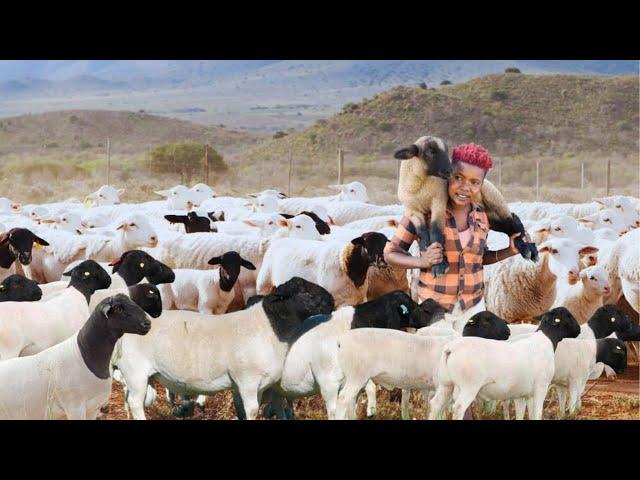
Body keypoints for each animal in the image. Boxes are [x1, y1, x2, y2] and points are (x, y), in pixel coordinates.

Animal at [112, 278, 336, 420]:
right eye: (305, 292)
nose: (332, 301)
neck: (268, 327)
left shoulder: (253, 385)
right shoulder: (247, 380)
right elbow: (251, 411)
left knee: (132, 401)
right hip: (135, 372)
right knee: (135, 402)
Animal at [256, 232, 388, 308]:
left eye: (384, 245)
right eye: (367, 244)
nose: (383, 261)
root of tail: (275, 241)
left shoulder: (358, 300)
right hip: (264, 284)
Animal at [396, 137, 536, 276]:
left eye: (447, 151)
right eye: (430, 152)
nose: (449, 171)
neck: (419, 188)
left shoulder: (438, 203)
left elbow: (436, 230)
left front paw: (440, 267)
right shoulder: (413, 210)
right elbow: (422, 232)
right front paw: (429, 252)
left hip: (495, 198)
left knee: (512, 220)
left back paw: (528, 250)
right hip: (489, 215)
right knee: (508, 223)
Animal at [428, 308, 584, 420]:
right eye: (568, 316)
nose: (579, 330)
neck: (546, 339)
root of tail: (451, 348)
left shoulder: (524, 393)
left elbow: (526, 414)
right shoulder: (541, 386)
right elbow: (538, 413)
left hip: (445, 384)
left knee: (435, 405)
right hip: (469, 386)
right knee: (459, 408)